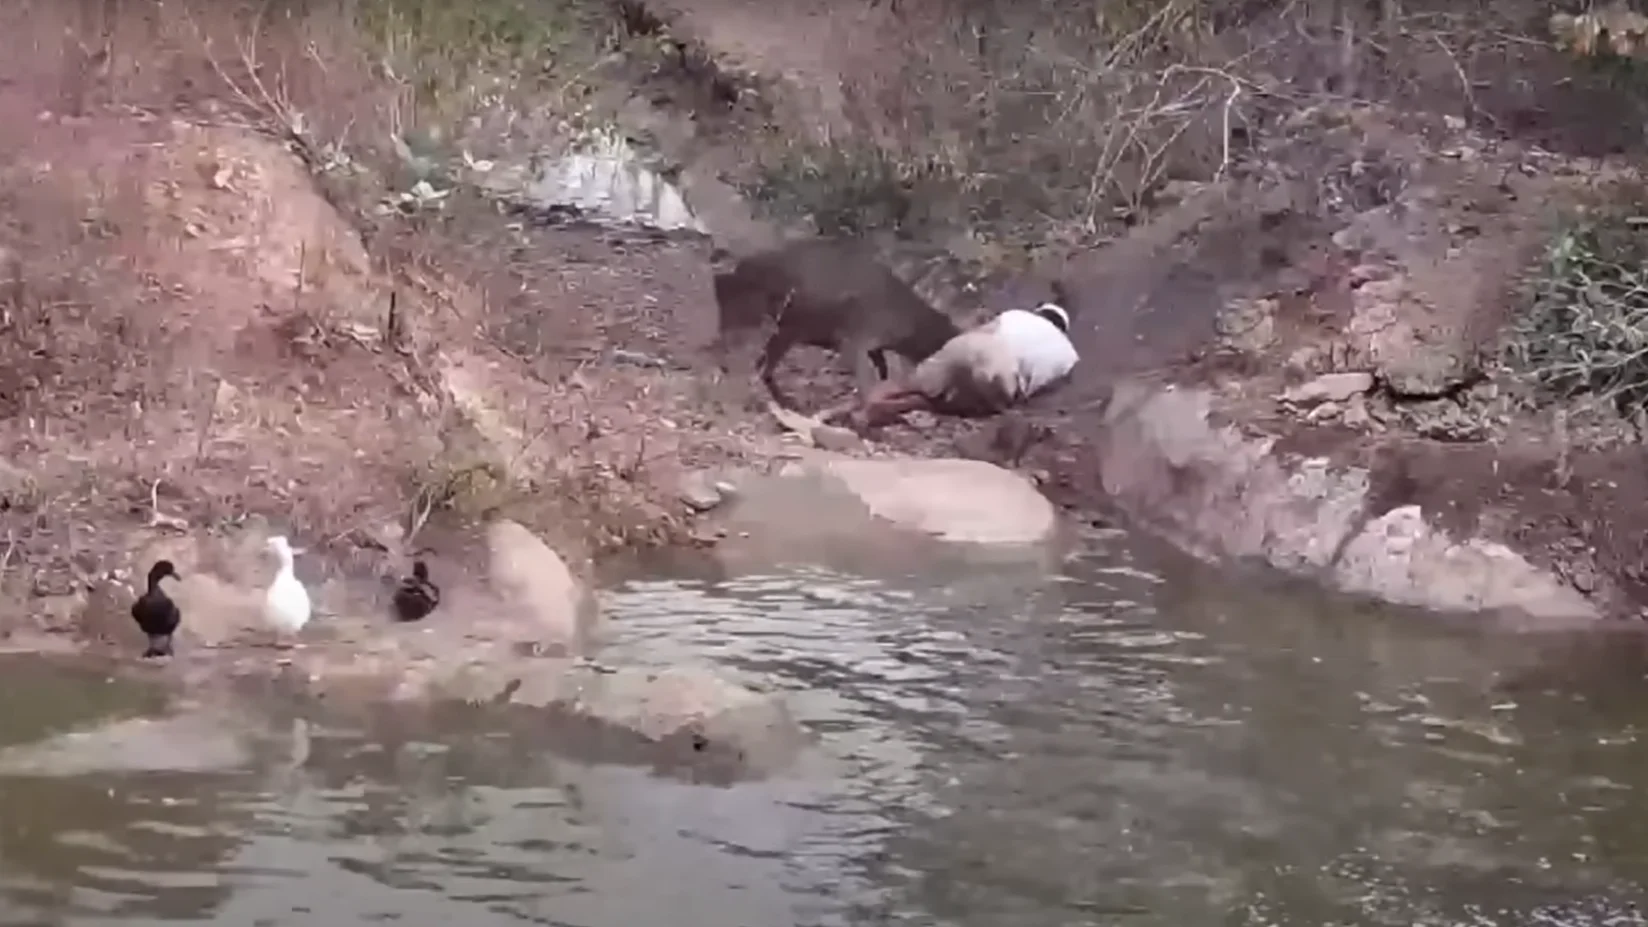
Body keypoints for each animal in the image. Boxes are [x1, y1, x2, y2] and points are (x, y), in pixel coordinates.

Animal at [711, 237, 962, 407]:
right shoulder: (853, 340)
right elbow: (866, 382)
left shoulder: (871, 346)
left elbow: (881, 370)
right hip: (774, 323)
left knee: (761, 361)